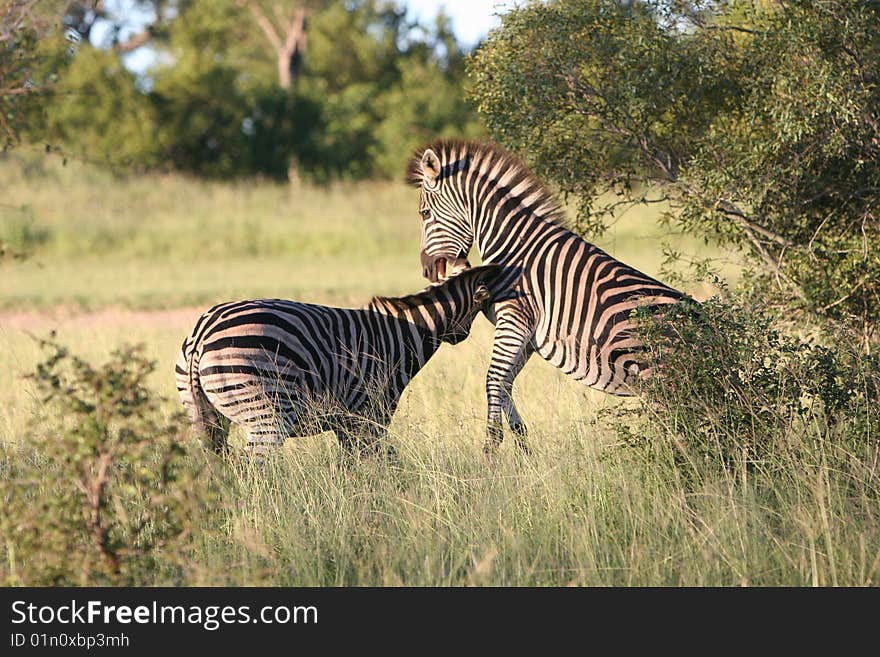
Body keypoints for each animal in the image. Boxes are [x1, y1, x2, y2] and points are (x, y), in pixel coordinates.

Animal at [174, 264, 506, 458]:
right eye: (487, 307)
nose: (461, 337)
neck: (400, 336)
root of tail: (203, 331)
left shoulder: (348, 423)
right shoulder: (369, 416)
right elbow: (378, 466)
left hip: (204, 416)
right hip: (267, 416)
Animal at [406, 138, 688, 454]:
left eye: (424, 214)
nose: (427, 269)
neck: (516, 248)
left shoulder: (514, 321)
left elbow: (493, 381)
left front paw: (490, 450)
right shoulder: (527, 334)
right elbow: (505, 384)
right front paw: (523, 447)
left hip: (664, 382)